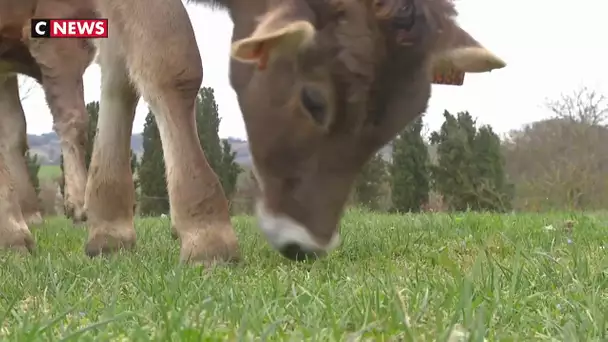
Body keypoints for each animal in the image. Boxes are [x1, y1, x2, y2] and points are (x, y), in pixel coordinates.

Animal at [0, 0, 504, 264]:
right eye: (313, 100)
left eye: (401, 121)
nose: (305, 243)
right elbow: (169, 60)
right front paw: (207, 232)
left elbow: (121, 77)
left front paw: (109, 225)